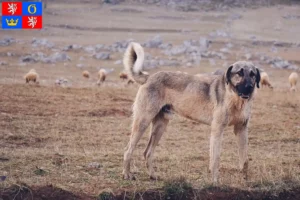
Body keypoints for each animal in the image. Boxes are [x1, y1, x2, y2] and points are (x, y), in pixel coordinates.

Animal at [122, 43, 260, 184]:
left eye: (253, 74)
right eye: (239, 73)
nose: (250, 87)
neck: (235, 98)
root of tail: (149, 77)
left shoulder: (241, 129)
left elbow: (244, 160)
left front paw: (245, 180)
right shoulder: (217, 130)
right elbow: (215, 159)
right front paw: (215, 182)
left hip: (160, 125)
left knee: (147, 152)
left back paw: (153, 176)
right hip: (143, 121)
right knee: (128, 150)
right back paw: (127, 175)